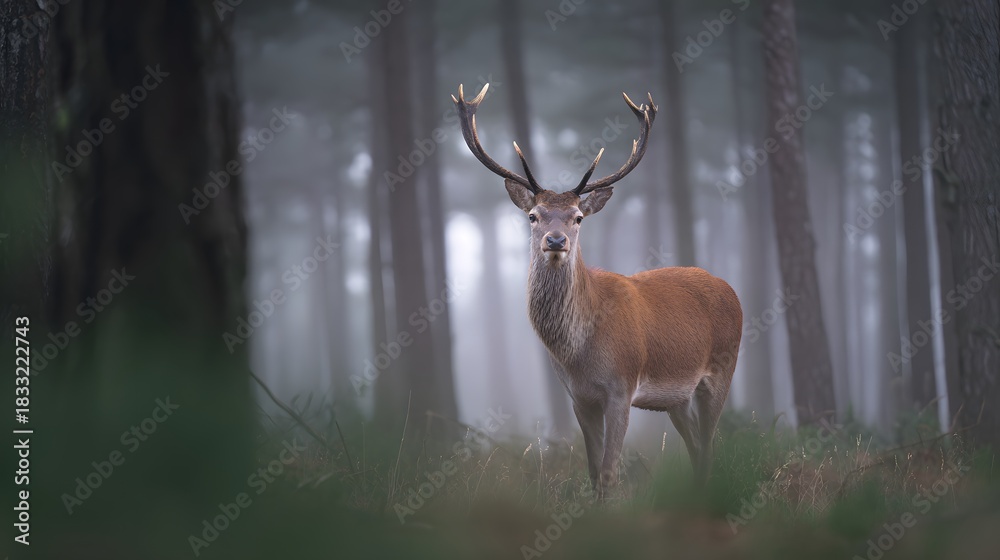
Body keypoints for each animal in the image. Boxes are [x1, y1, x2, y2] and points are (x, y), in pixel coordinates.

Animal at [452, 83, 743, 498]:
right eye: (533, 216)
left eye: (577, 217)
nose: (556, 241)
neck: (580, 351)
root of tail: (729, 288)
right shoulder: (579, 398)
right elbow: (591, 472)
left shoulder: (621, 387)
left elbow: (608, 472)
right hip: (676, 398)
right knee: (697, 446)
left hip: (721, 370)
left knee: (709, 443)